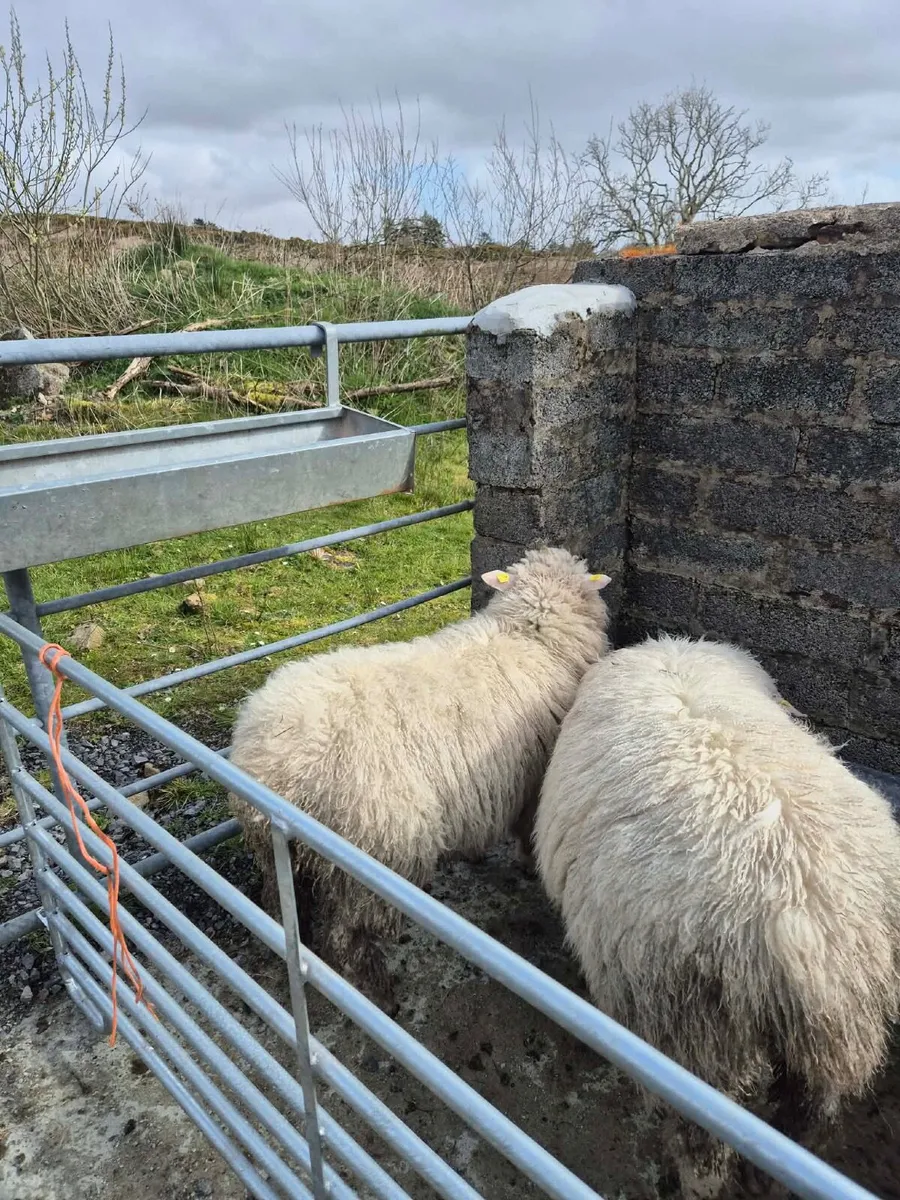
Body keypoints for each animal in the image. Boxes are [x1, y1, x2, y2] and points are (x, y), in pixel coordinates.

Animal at [227, 546, 612, 1012]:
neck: (529, 635)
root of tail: (275, 768)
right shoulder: (533, 775)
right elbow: (526, 828)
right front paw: (524, 862)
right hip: (376, 849)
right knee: (349, 936)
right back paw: (379, 994)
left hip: (274, 851)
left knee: (278, 902)